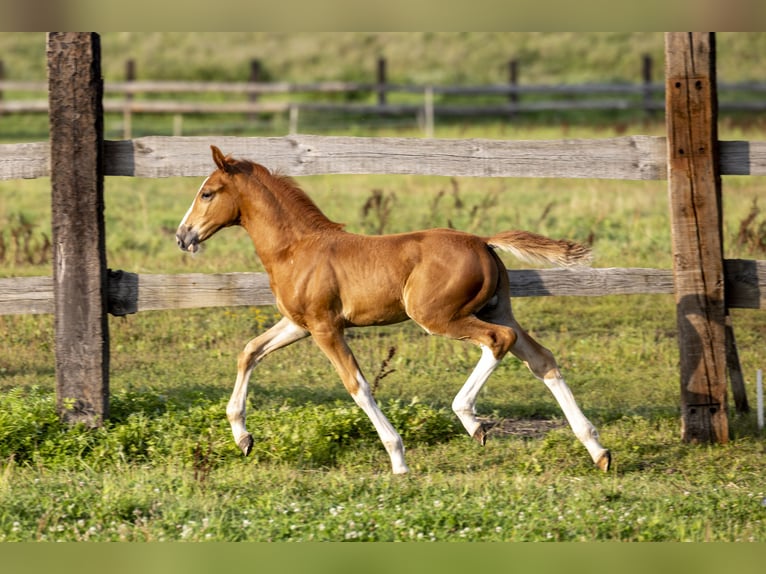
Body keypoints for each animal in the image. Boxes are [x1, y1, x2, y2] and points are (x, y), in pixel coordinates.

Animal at [178, 146, 612, 474]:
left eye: (207, 193)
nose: (183, 236)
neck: (296, 248)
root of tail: (482, 241)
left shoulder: (325, 327)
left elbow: (357, 385)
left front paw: (398, 458)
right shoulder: (299, 323)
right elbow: (250, 351)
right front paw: (244, 438)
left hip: (439, 316)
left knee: (498, 341)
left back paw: (471, 420)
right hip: (497, 309)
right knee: (542, 359)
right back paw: (598, 450)